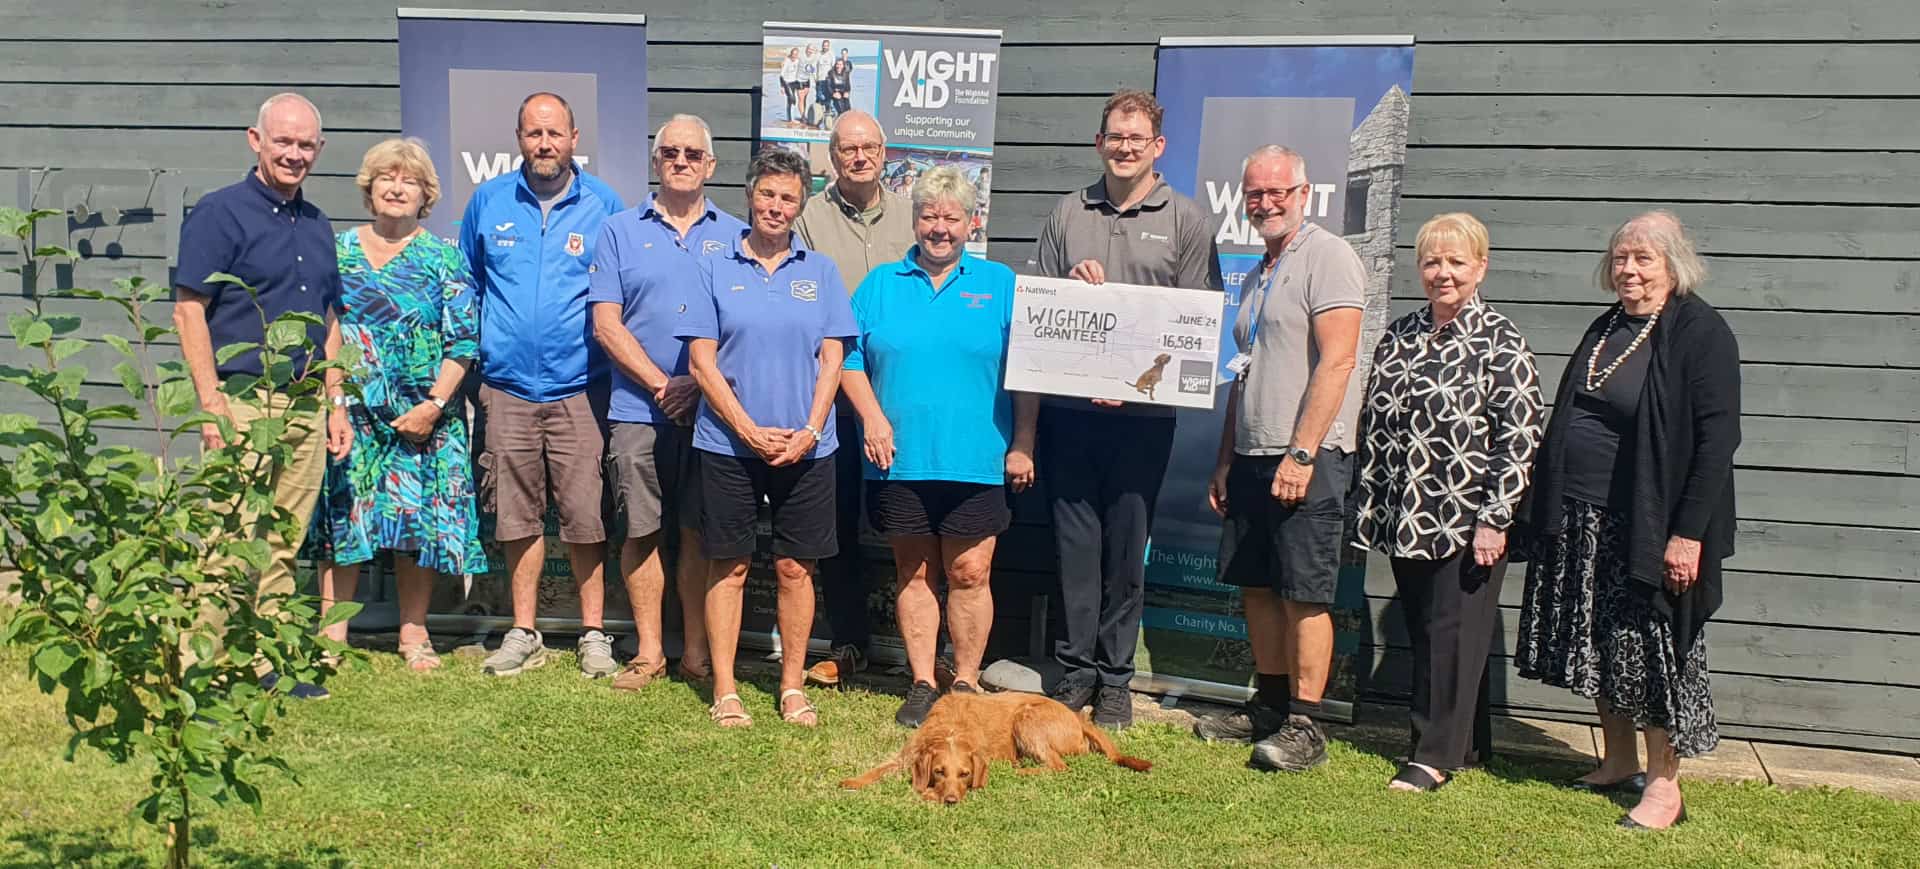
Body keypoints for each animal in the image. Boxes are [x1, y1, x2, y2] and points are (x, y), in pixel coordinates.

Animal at [837, 686, 1136, 801]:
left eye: (965, 775)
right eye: (938, 771)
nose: (951, 800)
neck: (951, 729)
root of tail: (1077, 717)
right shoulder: (906, 756)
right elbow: (878, 769)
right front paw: (853, 782)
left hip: (1026, 718)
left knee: (1058, 766)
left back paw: (1022, 770)